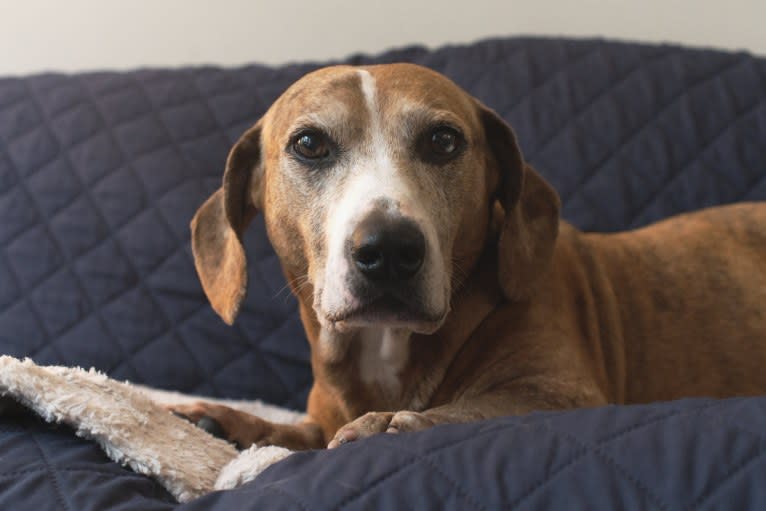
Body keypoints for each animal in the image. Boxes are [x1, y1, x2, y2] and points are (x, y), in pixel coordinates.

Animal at [171, 63, 766, 452]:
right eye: (310, 144)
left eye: (443, 140)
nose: (390, 249)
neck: (384, 353)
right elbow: (300, 432)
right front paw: (229, 423)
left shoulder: (563, 395)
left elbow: (469, 410)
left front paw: (391, 422)